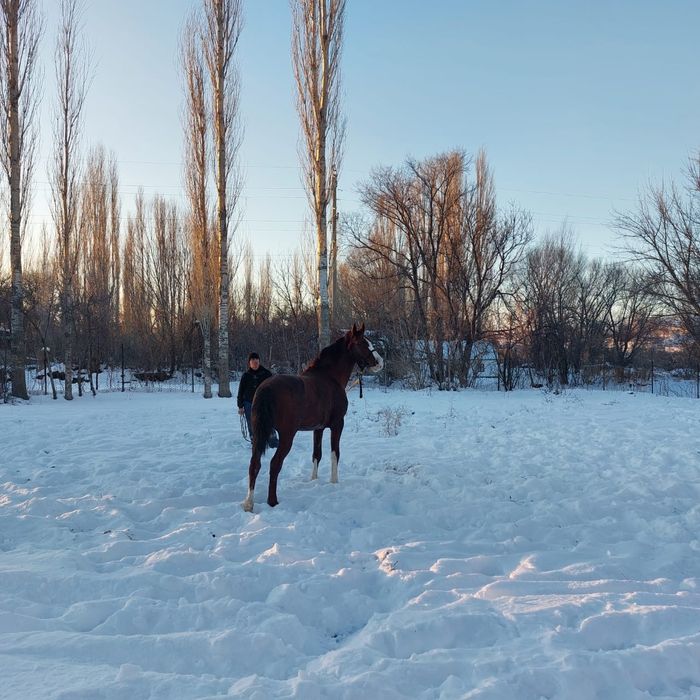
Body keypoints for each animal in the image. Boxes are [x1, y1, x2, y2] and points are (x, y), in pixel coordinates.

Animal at [242, 323, 384, 512]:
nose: (380, 362)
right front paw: (334, 482)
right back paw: (272, 501)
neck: (330, 377)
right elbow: (335, 453)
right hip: (286, 436)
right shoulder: (337, 424)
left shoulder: (318, 428)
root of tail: (265, 389)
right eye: (362, 343)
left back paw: (249, 503)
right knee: (274, 464)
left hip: (259, 434)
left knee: (254, 464)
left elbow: (317, 454)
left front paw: (313, 480)